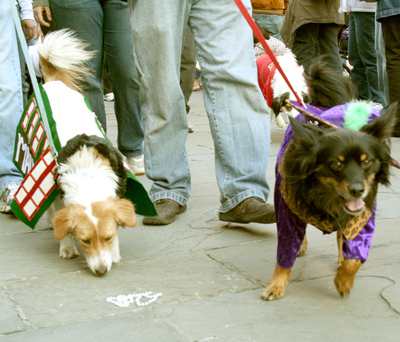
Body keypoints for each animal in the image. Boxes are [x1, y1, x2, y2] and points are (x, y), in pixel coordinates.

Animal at [32, 29, 136, 276]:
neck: (87, 173)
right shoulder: (57, 191)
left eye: (108, 237)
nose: (101, 271)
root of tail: (54, 82)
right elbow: (60, 218)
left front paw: (114, 253)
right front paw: (67, 246)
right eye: (85, 240)